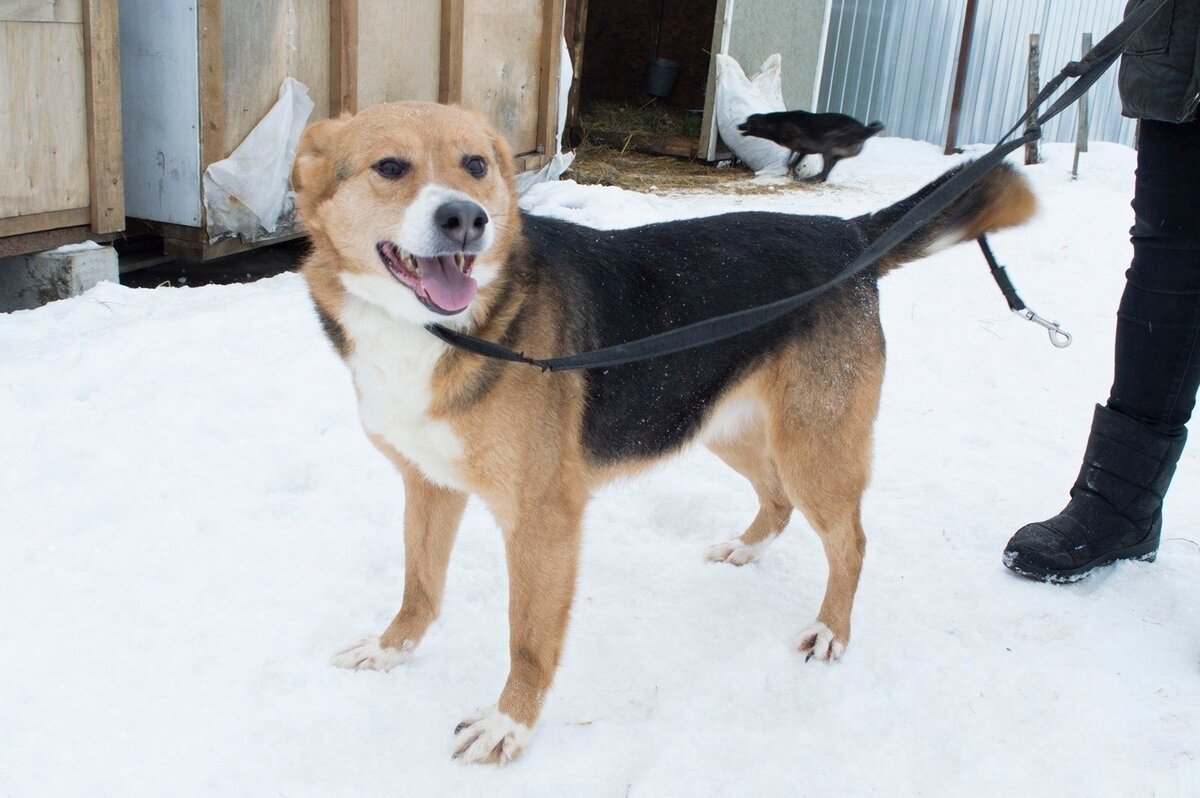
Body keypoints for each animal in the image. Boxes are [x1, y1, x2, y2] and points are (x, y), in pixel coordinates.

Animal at [290, 102, 1032, 763]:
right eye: (390, 167)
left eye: (476, 165)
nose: (467, 219)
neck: (440, 328)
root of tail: (849, 235)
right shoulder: (428, 483)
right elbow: (418, 587)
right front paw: (390, 648)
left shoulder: (542, 519)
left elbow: (527, 640)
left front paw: (509, 724)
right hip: (718, 423)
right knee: (777, 499)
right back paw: (745, 548)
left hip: (812, 448)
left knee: (850, 541)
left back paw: (830, 631)